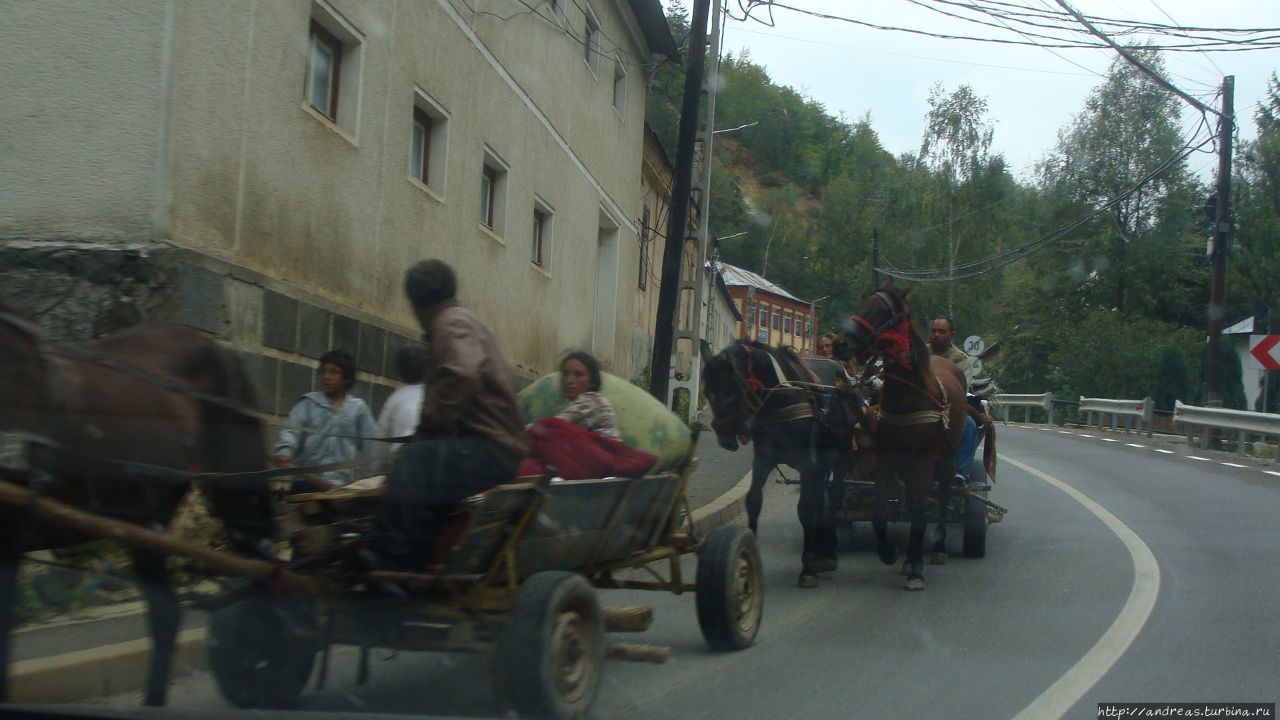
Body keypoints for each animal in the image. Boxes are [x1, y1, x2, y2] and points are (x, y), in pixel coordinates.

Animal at [701, 340, 860, 584]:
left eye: (731, 390)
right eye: (707, 392)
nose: (724, 438)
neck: (782, 398)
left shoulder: (807, 464)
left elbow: (804, 508)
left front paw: (807, 568)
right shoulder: (764, 458)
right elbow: (754, 500)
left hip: (838, 458)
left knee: (833, 498)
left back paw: (828, 553)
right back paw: (821, 551)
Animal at [834, 284, 962, 589]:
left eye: (882, 312)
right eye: (862, 303)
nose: (839, 344)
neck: (910, 393)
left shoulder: (925, 460)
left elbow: (919, 511)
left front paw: (916, 569)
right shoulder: (888, 457)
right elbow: (880, 511)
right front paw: (890, 552)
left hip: (948, 458)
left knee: (943, 497)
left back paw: (937, 549)